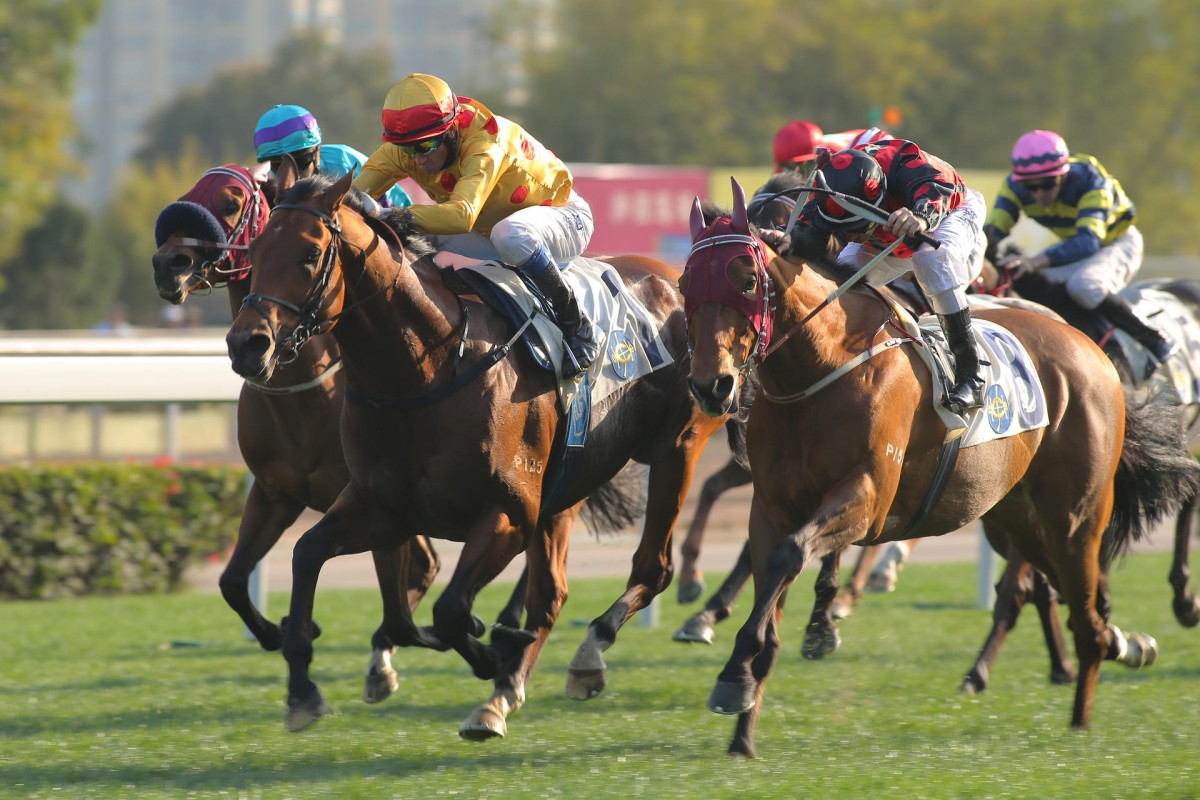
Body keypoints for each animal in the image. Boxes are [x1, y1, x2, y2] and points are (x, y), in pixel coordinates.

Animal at [152, 160, 444, 700]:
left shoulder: (368, 499)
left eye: (230, 201)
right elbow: (231, 581)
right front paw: (284, 629)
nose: (167, 264)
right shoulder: (275, 493)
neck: (304, 391)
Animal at [225, 172, 724, 743]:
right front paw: (302, 686)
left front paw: (489, 649)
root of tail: (672, 277)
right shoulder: (383, 507)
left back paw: (583, 655)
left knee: (653, 567)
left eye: (309, 254)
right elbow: (308, 554)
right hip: (566, 487)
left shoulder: (509, 512)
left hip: (678, 445)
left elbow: (450, 610)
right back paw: (505, 693)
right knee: (552, 594)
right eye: (255, 250)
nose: (246, 344)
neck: (427, 368)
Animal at [681, 179, 1195, 758]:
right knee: (1076, 600)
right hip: (1014, 518)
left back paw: (1083, 718)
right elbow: (770, 593)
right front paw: (741, 722)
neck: (823, 366)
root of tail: (1089, 347)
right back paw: (1123, 646)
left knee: (1084, 611)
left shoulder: (865, 498)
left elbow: (791, 557)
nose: (712, 385)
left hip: (1077, 516)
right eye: (684, 282)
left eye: (746, 280)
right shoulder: (772, 506)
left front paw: (737, 669)